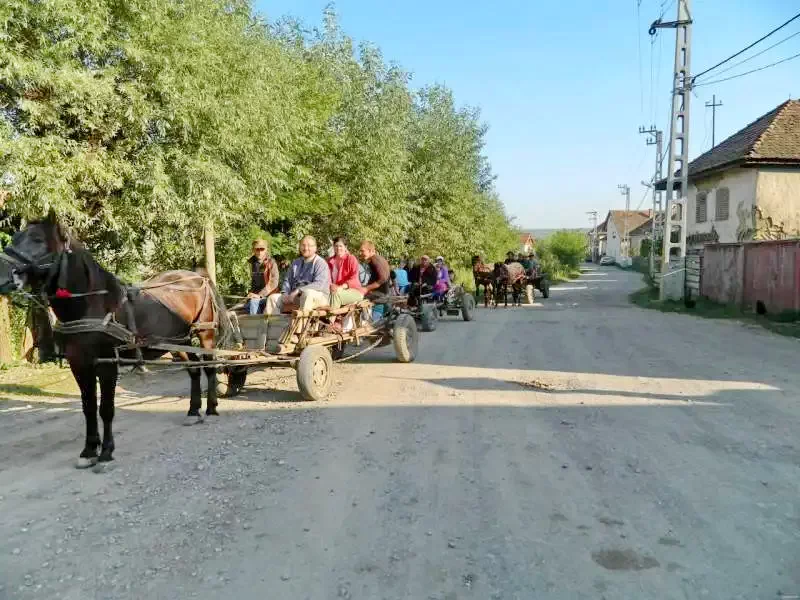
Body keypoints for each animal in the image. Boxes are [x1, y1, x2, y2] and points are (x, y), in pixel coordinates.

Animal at [0, 216, 234, 468]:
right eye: (15, 237)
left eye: (37, 239)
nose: (3, 274)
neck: (92, 305)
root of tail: (197, 276)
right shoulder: (79, 365)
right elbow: (88, 407)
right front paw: (89, 450)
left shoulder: (107, 364)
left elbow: (106, 409)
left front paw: (106, 452)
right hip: (177, 340)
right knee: (193, 370)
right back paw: (193, 411)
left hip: (204, 334)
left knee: (209, 367)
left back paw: (211, 408)